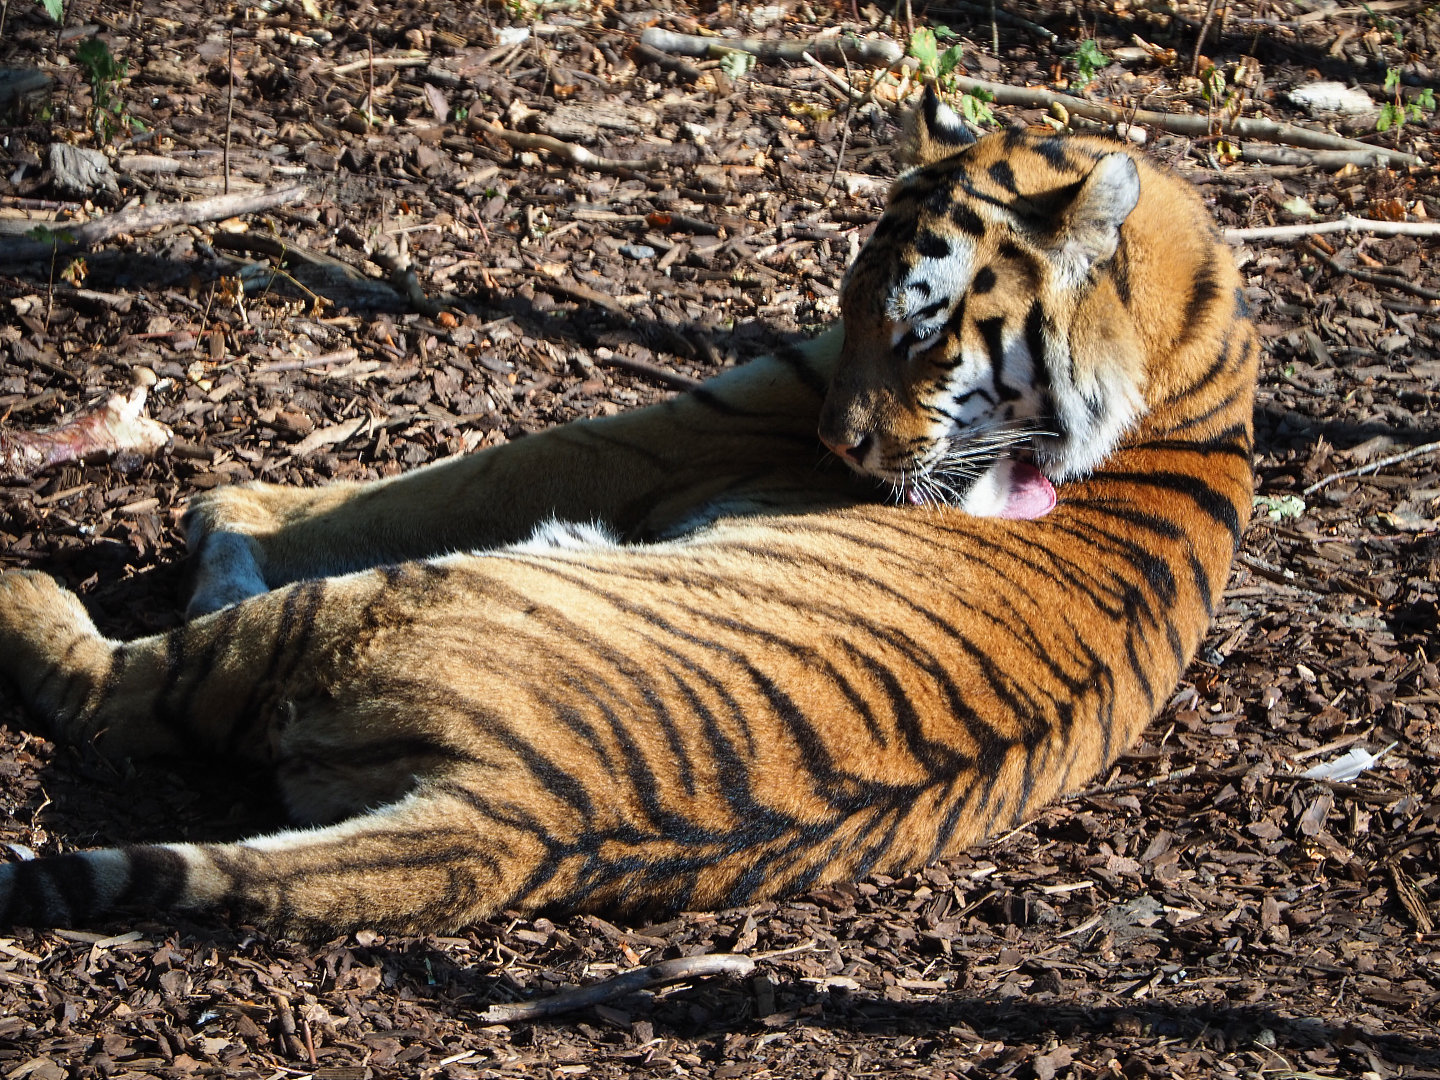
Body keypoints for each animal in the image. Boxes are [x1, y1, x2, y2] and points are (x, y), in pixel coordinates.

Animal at [0, 88, 1257, 937]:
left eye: (915, 327)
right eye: (849, 305)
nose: (837, 445)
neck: (1191, 354)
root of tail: (512, 824)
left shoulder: (691, 422)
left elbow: (462, 474)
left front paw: (229, 508)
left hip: (380, 607)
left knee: (119, 690)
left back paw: (45, 589)